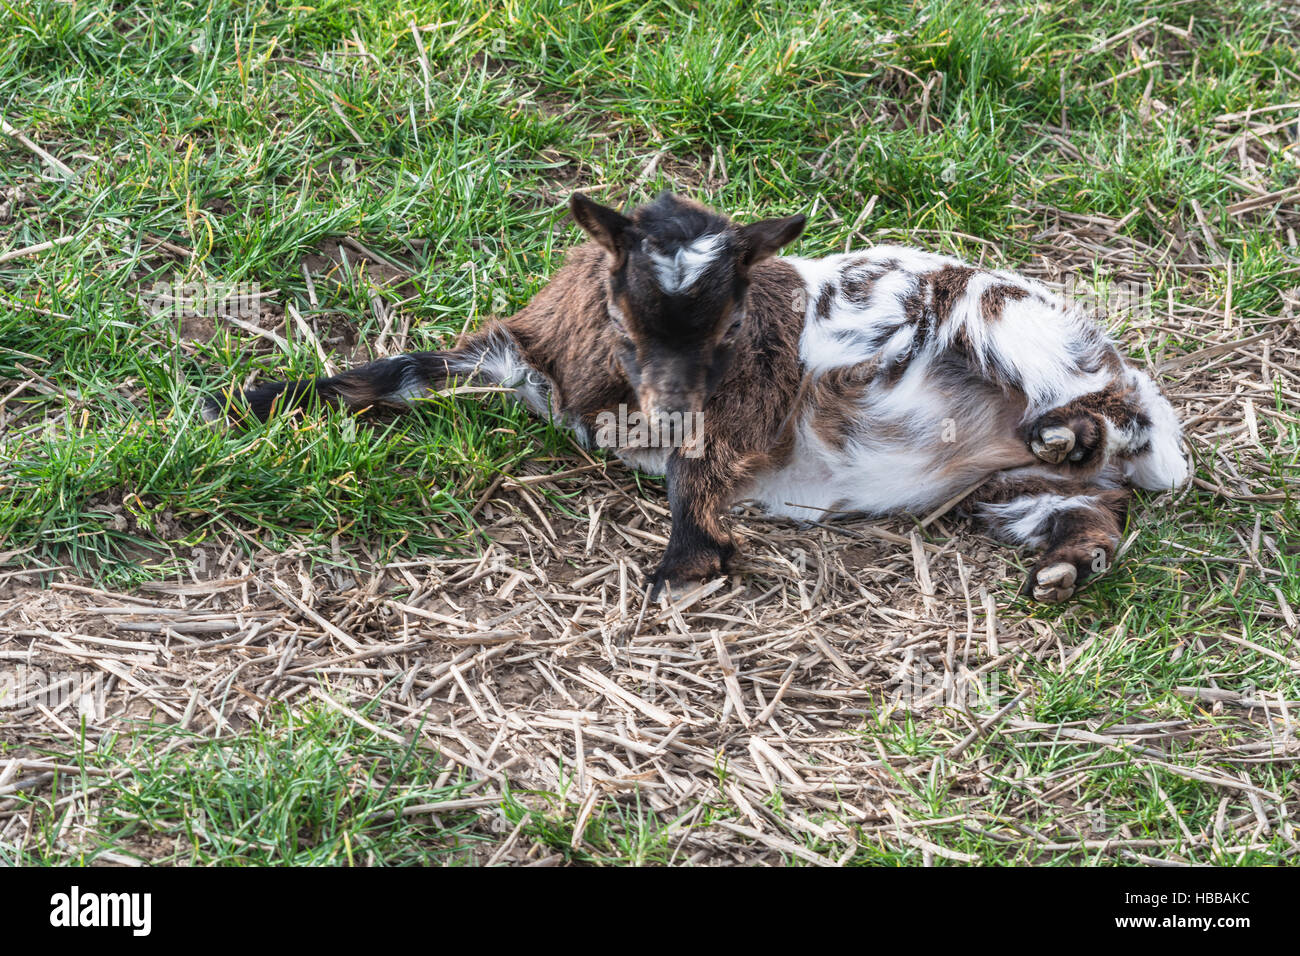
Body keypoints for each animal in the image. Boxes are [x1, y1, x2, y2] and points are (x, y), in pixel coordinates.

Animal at [208, 191, 1190, 600]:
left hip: (1013, 325)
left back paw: (1076, 433)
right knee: (1085, 509)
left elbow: (695, 473)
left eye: (728, 332)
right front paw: (260, 397)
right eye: (623, 313)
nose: (663, 402)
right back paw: (1065, 561)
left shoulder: (736, 411)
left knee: (1115, 413)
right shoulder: (522, 355)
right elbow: (399, 371)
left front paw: (681, 570)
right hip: (1006, 494)